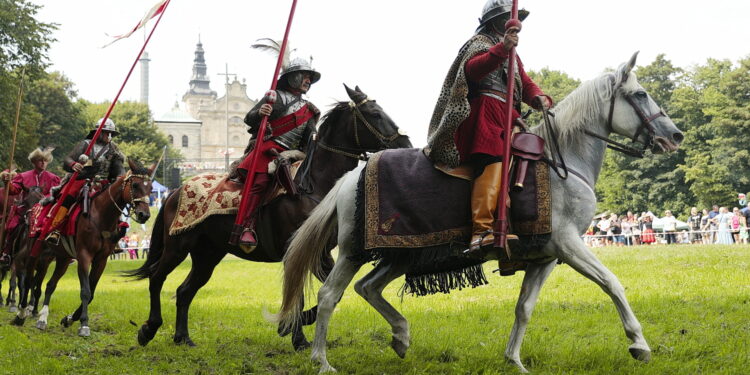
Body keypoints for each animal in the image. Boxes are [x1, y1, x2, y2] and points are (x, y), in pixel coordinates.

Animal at [12, 159, 155, 338]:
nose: (144, 215)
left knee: (50, 284)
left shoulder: (101, 260)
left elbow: (91, 292)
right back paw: (21, 314)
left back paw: (43, 319)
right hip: (35, 253)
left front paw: (69, 319)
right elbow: (86, 291)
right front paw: (84, 325)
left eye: (150, 188)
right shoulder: (84, 256)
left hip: (62, 258)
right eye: (135, 185)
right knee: (29, 281)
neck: (101, 216)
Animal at [126, 85, 414, 350]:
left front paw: (293, 328)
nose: (406, 145)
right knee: (156, 278)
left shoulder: (320, 253)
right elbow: (301, 294)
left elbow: (333, 292)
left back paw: (183, 337)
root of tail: (175, 191)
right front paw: (296, 335)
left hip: (207, 255)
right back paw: (149, 329)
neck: (312, 186)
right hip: (177, 247)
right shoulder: (299, 252)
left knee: (184, 291)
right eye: (375, 113)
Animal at [278, 53, 688, 374]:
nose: (675, 135)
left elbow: (524, 307)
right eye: (640, 94)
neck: (563, 161)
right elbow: (612, 283)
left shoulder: (546, 256)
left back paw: (401, 337)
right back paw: (322, 360)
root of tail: (352, 176)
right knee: (330, 295)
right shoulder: (569, 244)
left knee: (368, 287)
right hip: (352, 250)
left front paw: (514, 360)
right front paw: (639, 345)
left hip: (400, 254)